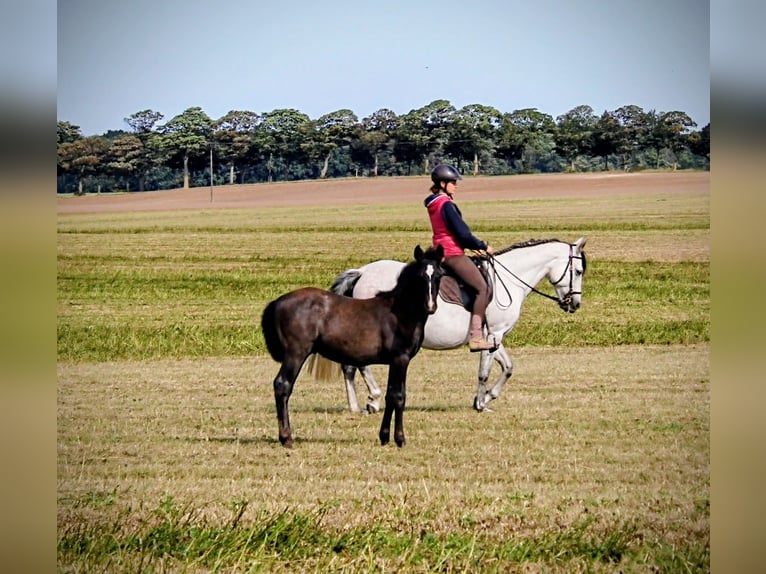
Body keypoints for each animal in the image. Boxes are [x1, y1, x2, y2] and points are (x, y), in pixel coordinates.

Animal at [260, 244, 444, 448]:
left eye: (439, 275)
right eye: (420, 276)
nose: (431, 307)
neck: (399, 312)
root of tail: (277, 302)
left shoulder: (396, 361)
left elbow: (391, 395)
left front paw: (384, 436)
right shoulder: (400, 358)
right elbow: (398, 396)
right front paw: (399, 439)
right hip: (296, 353)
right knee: (282, 385)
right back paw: (286, 438)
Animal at [324, 238, 587, 413]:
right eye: (578, 271)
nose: (575, 303)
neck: (509, 280)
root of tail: (362, 272)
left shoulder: (494, 335)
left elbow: (508, 367)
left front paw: (488, 398)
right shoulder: (494, 332)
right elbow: (484, 371)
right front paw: (480, 403)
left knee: (349, 367)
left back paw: (356, 406)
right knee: (360, 364)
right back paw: (374, 398)